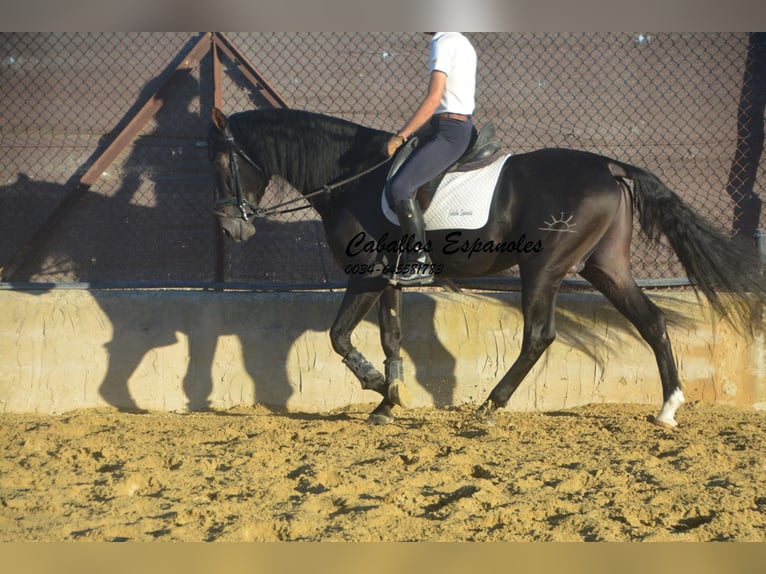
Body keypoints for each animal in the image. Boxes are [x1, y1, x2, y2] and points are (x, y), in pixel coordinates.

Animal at [207, 108, 764, 430]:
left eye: (221, 164)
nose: (230, 229)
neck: (353, 177)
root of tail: (610, 167)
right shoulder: (389, 280)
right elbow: (390, 337)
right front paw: (388, 401)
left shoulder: (365, 274)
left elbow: (340, 337)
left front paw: (376, 388)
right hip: (605, 267)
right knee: (651, 321)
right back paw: (667, 408)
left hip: (543, 267)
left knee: (539, 334)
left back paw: (490, 407)